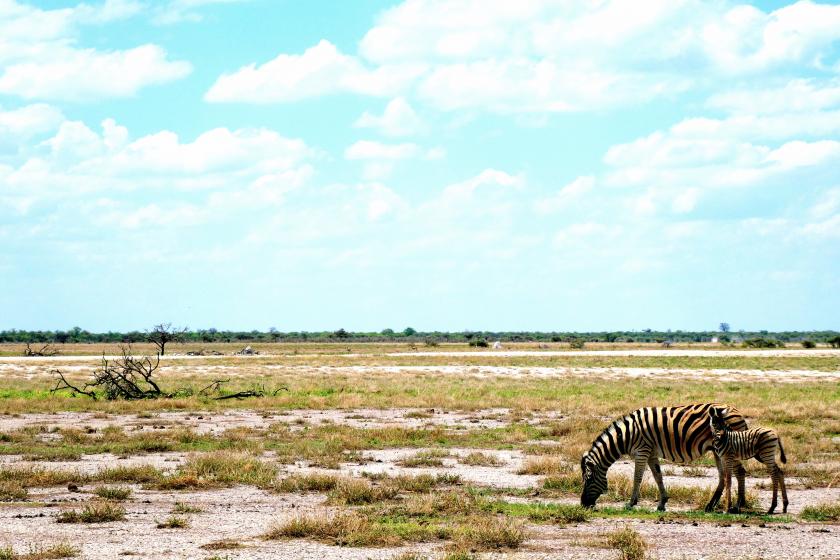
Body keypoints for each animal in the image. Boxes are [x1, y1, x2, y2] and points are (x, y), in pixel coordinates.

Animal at [576, 402, 748, 512]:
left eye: (588, 480)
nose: (583, 504)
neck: (625, 435)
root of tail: (737, 411)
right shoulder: (651, 453)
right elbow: (658, 476)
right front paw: (662, 503)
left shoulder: (642, 451)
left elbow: (637, 477)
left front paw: (631, 503)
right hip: (717, 450)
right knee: (723, 476)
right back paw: (710, 506)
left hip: (729, 448)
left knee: (739, 472)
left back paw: (738, 505)